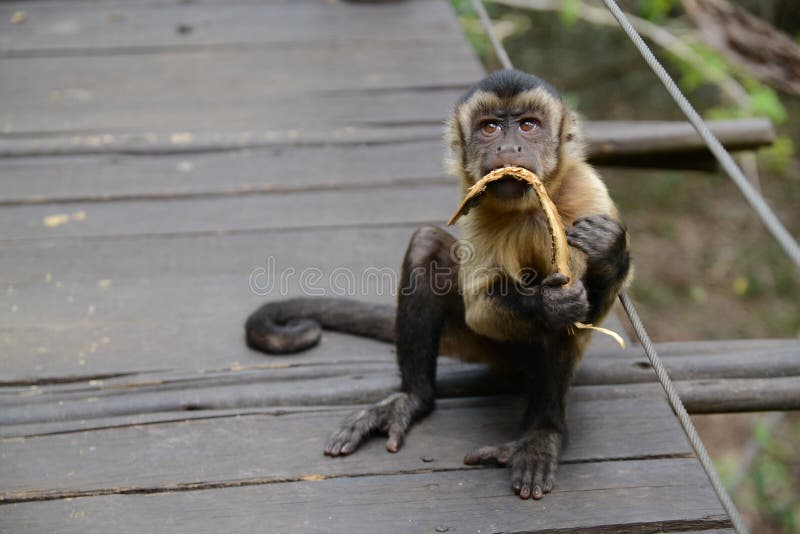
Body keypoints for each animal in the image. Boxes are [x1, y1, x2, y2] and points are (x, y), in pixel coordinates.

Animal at [245, 69, 631, 500]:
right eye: (489, 127)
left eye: (529, 125)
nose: (509, 145)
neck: (530, 205)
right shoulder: (477, 208)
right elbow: (482, 308)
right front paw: (552, 303)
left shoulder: (587, 193)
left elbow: (591, 310)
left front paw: (609, 249)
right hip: (482, 344)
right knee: (427, 246)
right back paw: (413, 398)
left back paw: (543, 432)